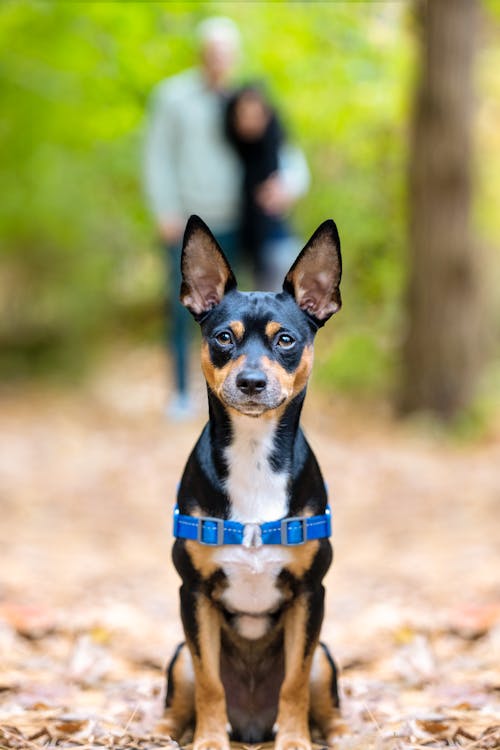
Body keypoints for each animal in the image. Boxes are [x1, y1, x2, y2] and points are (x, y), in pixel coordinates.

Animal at [162, 214, 342, 748]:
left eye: (285, 340)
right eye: (224, 337)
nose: (251, 383)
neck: (254, 454)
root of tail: (252, 725)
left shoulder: (310, 594)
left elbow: (295, 680)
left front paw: (296, 740)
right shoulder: (193, 594)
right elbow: (209, 681)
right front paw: (208, 740)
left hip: (327, 658)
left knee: (323, 695)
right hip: (177, 657)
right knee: (182, 693)